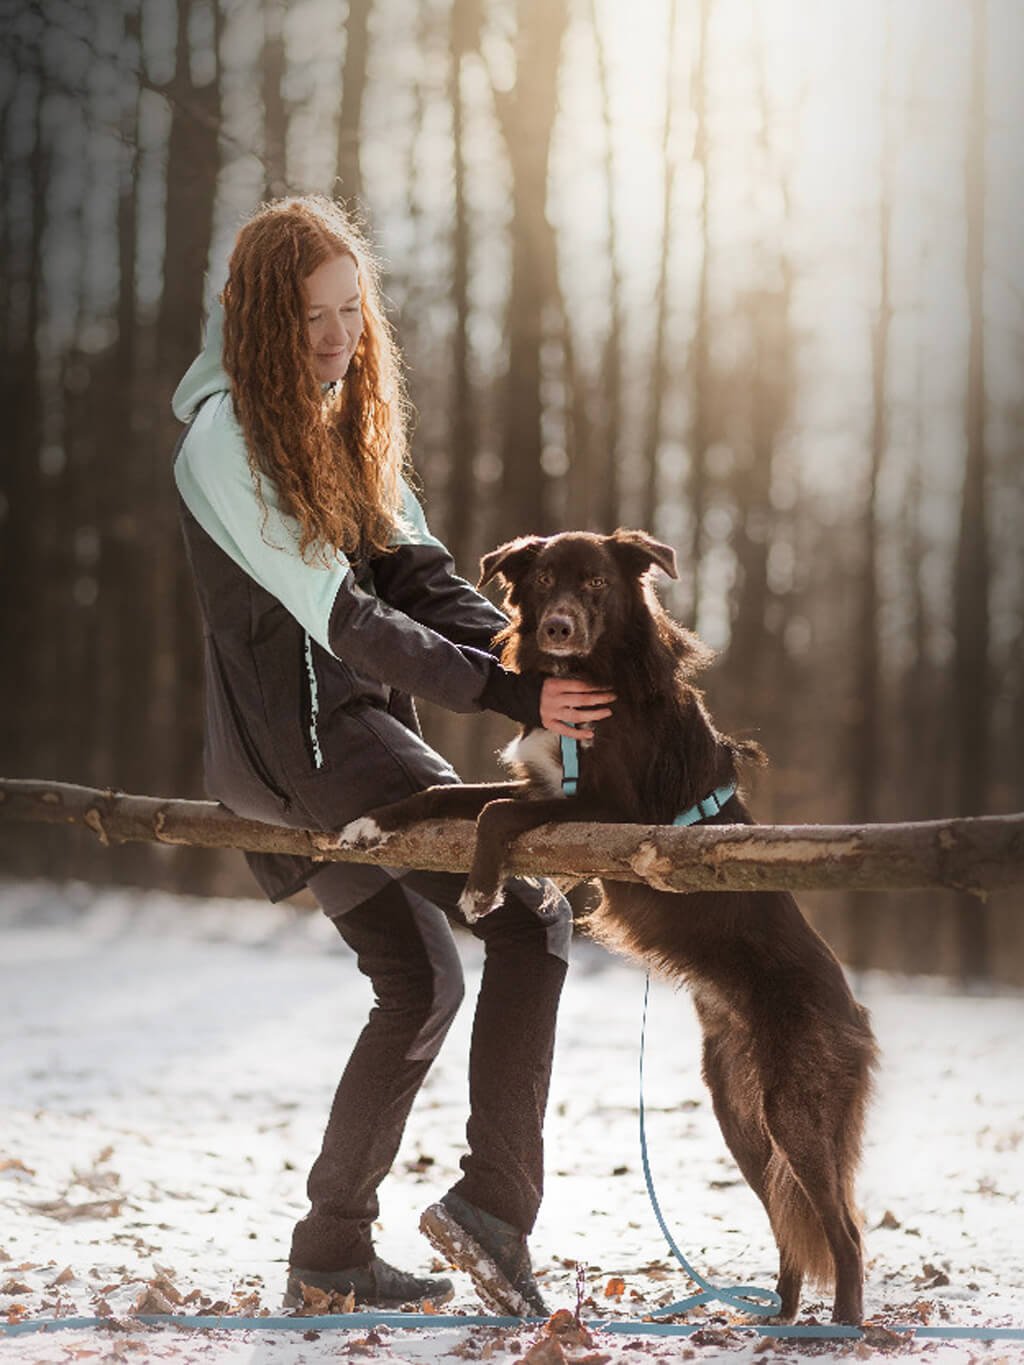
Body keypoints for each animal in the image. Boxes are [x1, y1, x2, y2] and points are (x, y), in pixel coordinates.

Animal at [342, 524, 884, 1321]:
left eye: (597, 582)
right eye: (542, 580)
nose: (559, 627)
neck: (596, 674)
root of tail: (857, 1012)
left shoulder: (612, 810)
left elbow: (492, 812)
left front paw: (480, 890)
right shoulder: (542, 783)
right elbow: (449, 795)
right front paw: (373, 821)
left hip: (797, 1112)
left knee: (843, 1233)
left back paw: (839, 1326)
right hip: (741, 1116)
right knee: (791, 1225)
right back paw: (778, 1321)